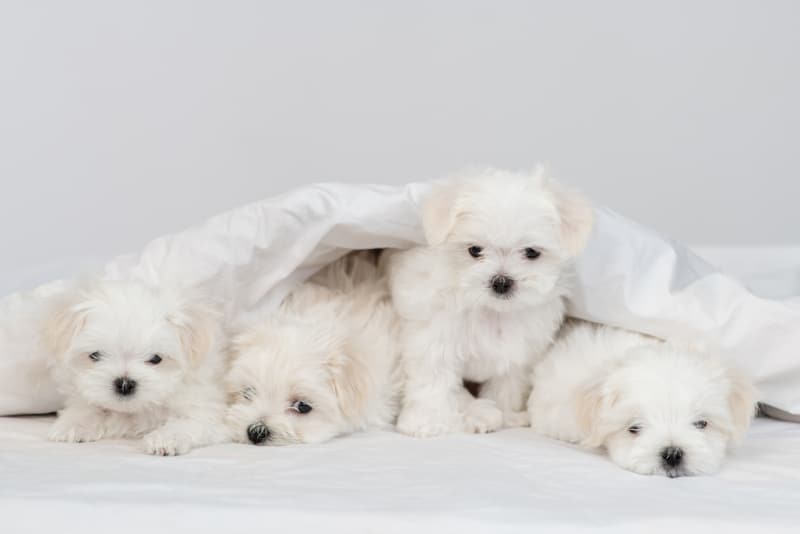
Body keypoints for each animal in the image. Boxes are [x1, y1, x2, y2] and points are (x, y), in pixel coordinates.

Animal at [44, 280, 228, 456]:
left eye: (156, 359)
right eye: (95, 355)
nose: (124, 384)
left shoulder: (205, 408)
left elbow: (188, 422)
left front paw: (164, 439)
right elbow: (87, 406)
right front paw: (74, 424)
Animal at [388, 169, 592, 440]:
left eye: (531, 252)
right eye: (475, 250)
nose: (501, 281)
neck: (492, 311)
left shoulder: (520, 352)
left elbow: (507, 384)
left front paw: (506, 414)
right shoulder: (433, 338)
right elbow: (432, 379)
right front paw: (426, 421)